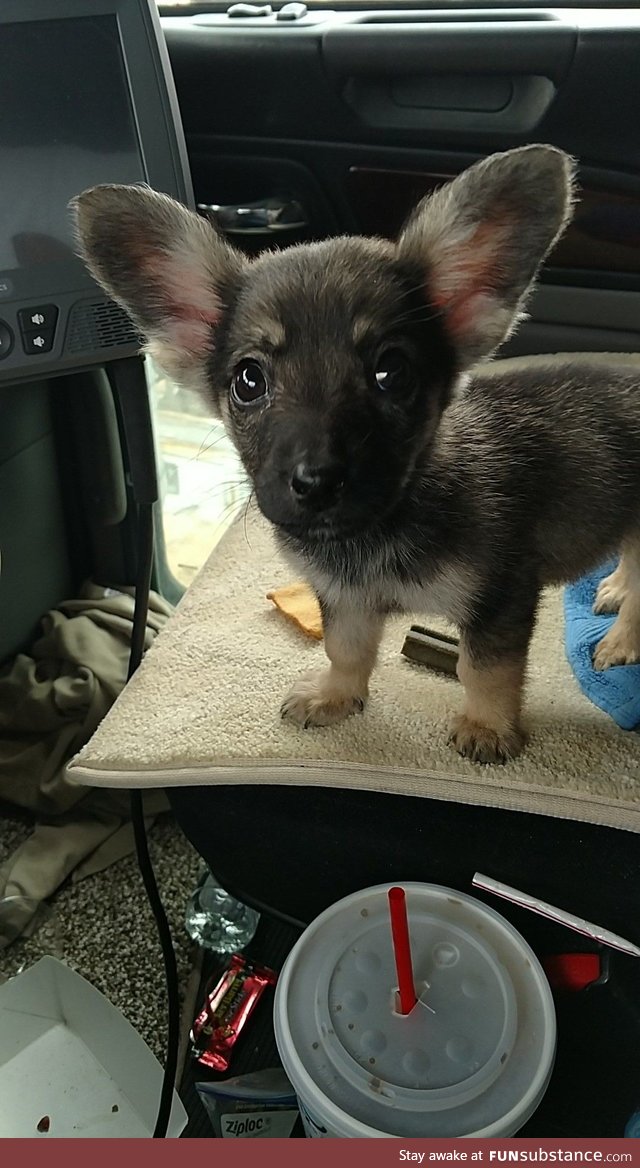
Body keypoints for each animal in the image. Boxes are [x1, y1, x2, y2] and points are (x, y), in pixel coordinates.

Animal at [70, 146, 640, 761]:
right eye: (248, 381)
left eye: (392, 371)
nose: (316, 483)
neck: (377, 532)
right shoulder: (344, 599)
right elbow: (345, 649)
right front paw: (337, 697)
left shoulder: (499, 597)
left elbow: (483, 669)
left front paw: (488, 727)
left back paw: (621, 638)